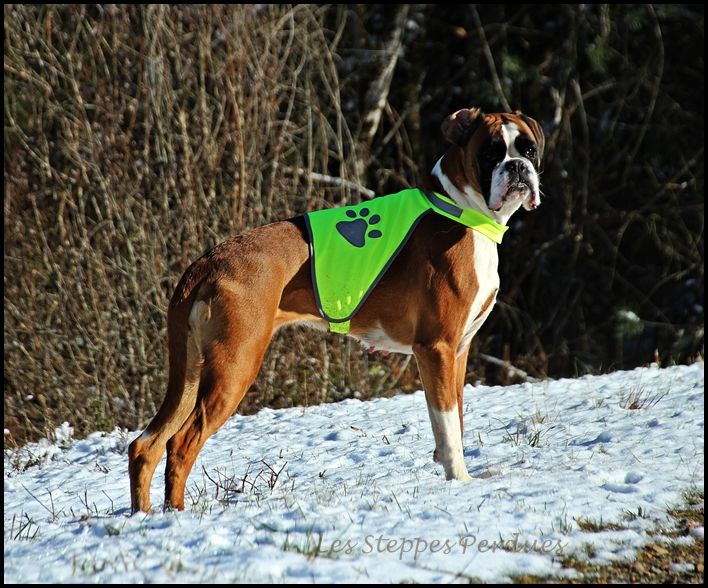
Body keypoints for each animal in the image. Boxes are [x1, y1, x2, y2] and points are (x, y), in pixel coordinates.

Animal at [129, 108, 548, 512]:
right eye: (492, 153)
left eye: (528, 150)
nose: (517, 167)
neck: (460, 208)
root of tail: (207, 261)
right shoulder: (436, 349)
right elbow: (447, 425)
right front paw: (460, 481)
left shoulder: (458, 352)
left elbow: (454, 418)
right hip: (234, 368)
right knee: (182, 442)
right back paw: (177, 514)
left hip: (190, 372)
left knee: (146, 444)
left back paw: (145, 515)